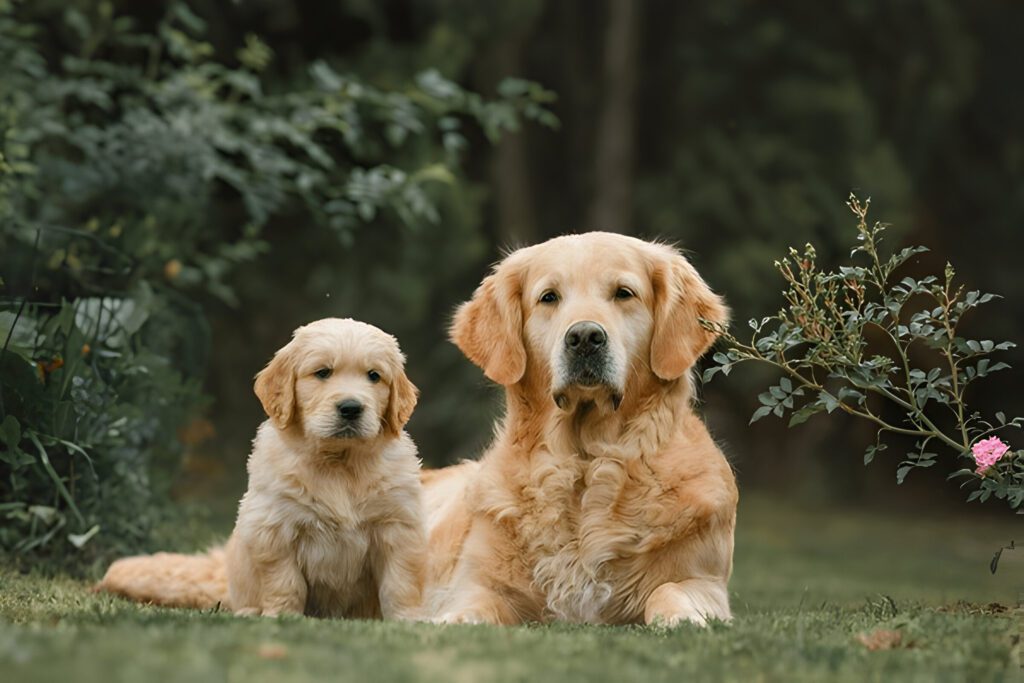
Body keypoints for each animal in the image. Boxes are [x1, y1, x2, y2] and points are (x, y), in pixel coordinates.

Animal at [97, 319, 425, 618]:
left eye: (374, 376)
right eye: (322, 373)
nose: (351, 408)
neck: (338, 462)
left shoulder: (399, 527)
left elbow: (400, 583)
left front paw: (406, 621)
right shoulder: (274, 529)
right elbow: (286, 583)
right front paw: (282, 617)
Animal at [419, 232, 741, 626]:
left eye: (623, 293)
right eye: (549, 297)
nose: (585, 337)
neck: (585, 463)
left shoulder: (704, 581)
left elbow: (668, 589)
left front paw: (680, 618)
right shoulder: (478, 583)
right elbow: (474, 605)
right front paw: (451, 622)